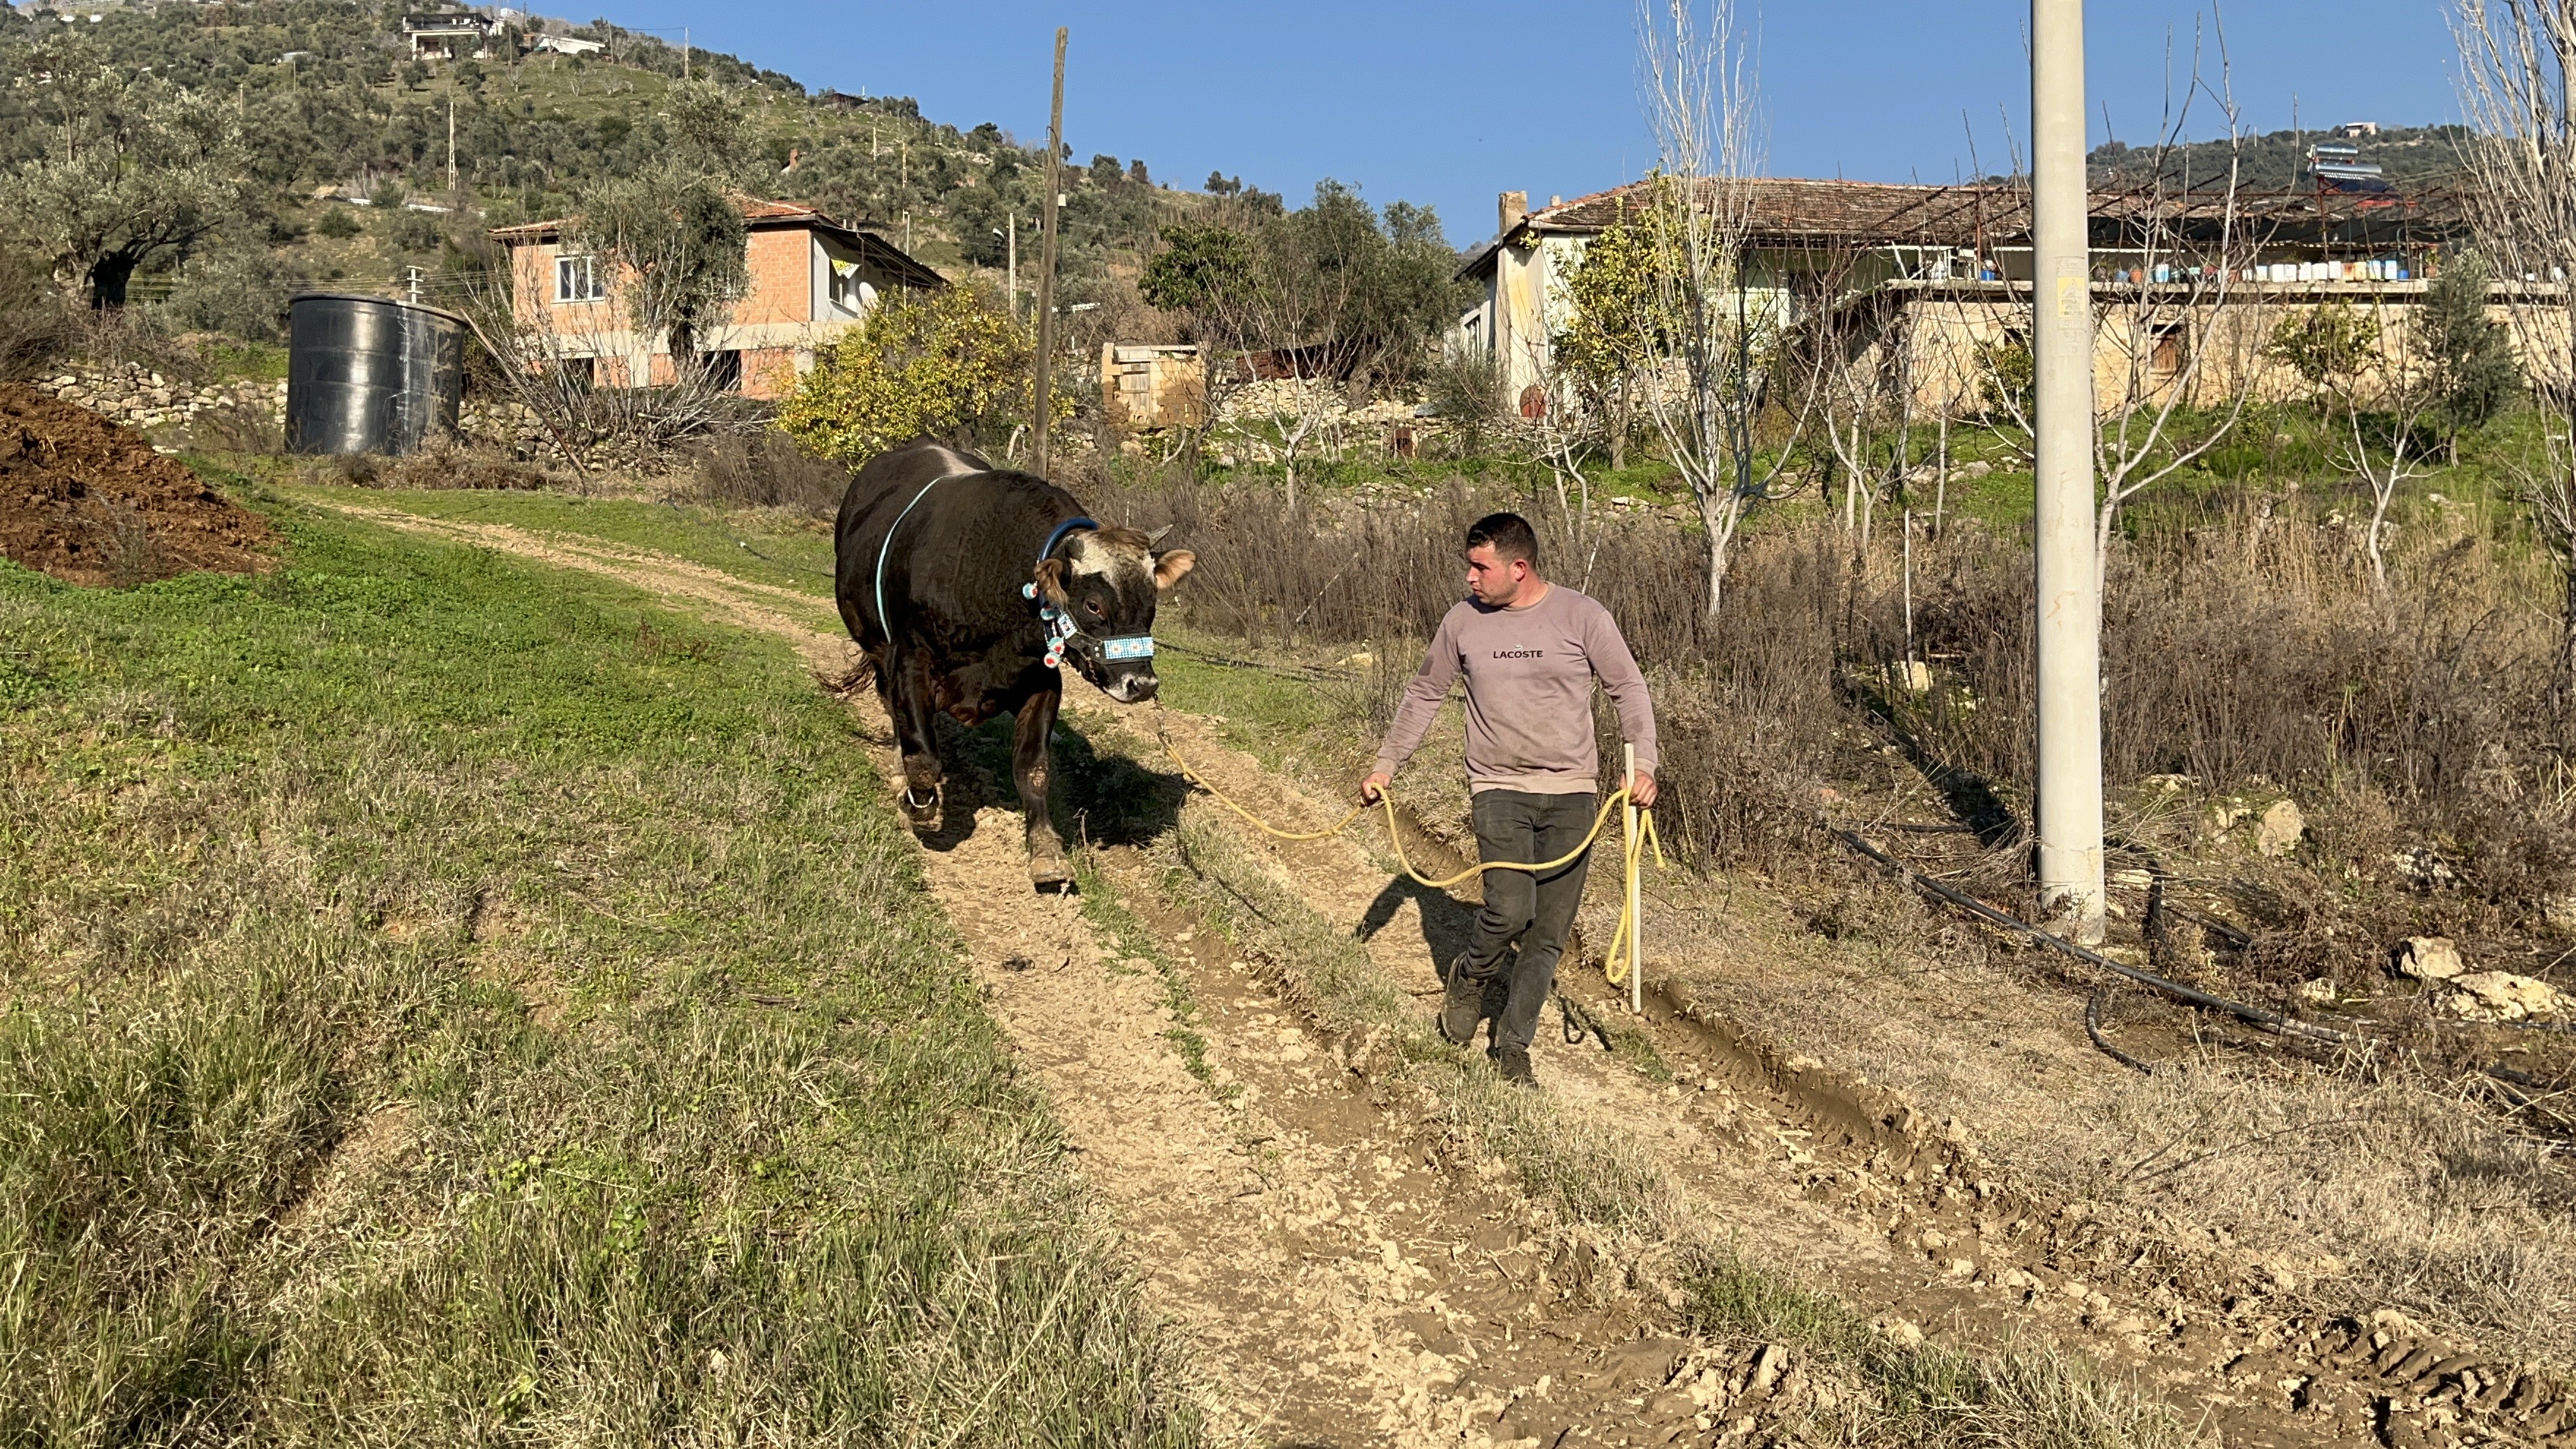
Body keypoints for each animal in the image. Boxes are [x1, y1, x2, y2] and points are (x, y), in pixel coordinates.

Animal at [829, 433, 1190, 886]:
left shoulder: (1041, 682)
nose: (1142, 684)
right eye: (1094, 604)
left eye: (1151, 603)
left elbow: (1033, 768)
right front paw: (918, 805)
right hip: (876, 648)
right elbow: (923, 757)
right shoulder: (910, 661)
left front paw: (1047, 850)